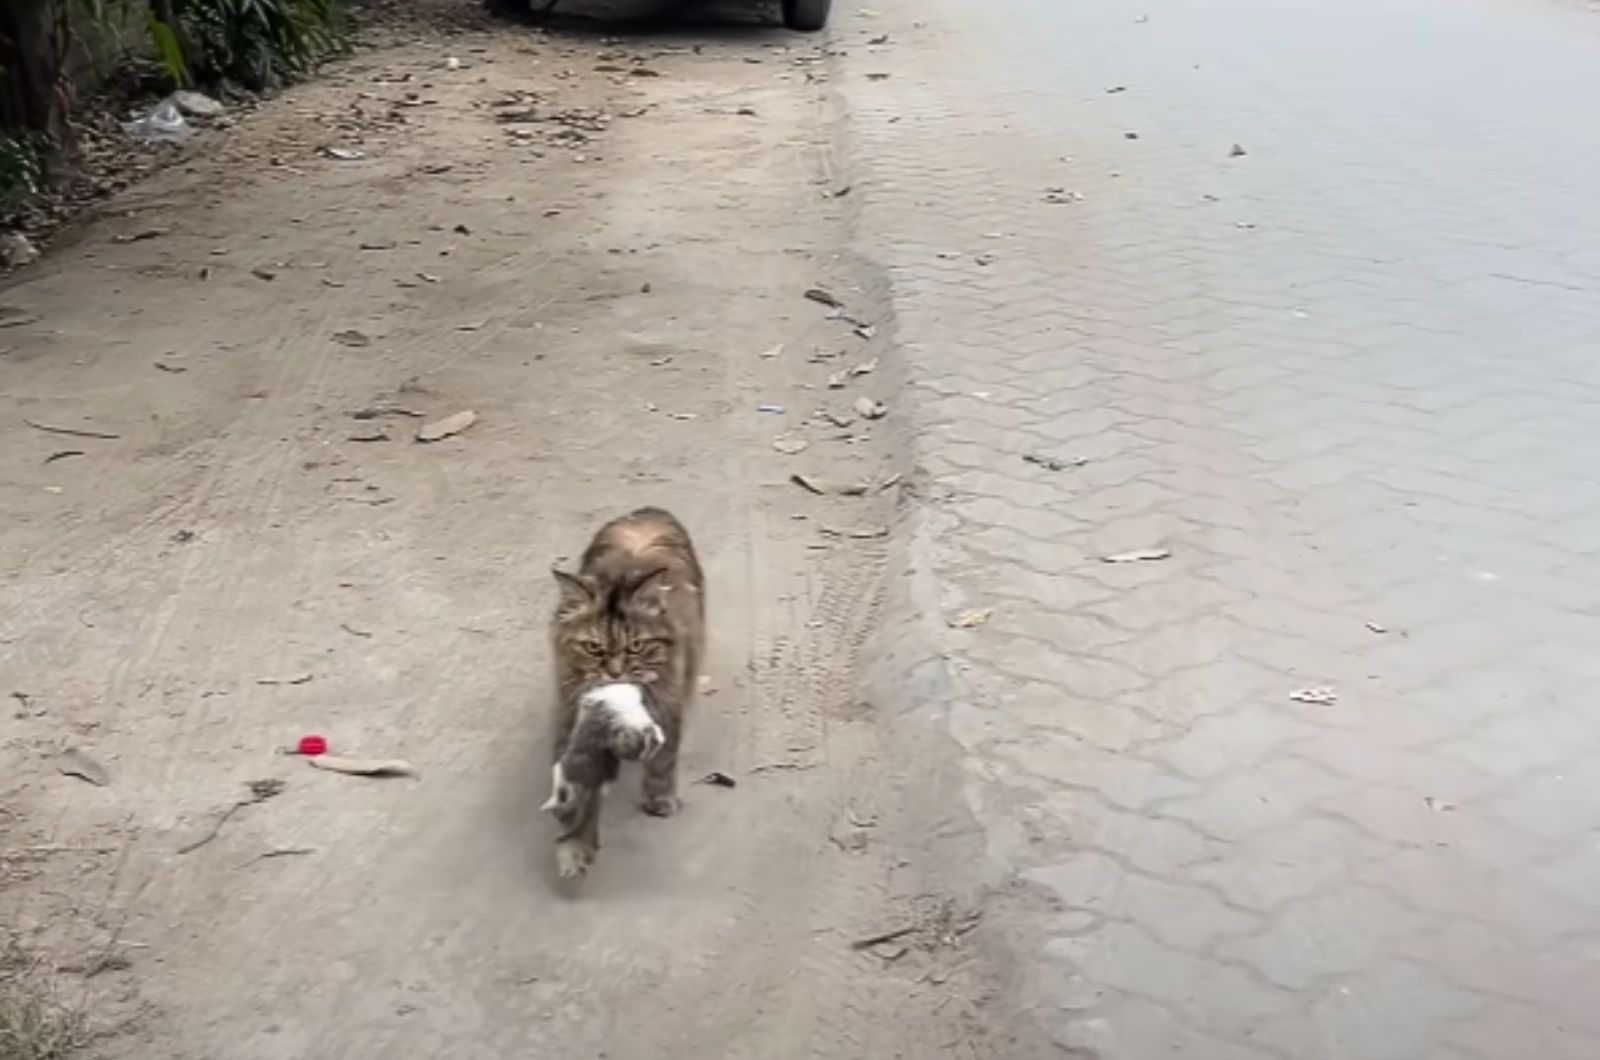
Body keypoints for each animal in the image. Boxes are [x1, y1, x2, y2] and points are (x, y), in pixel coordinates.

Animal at [544, 505, 707, 877]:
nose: (615, 673)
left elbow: (663, 762)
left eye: (636, 647)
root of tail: (648, 511)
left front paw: (659, 798)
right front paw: (573, 840)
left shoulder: (668, 703)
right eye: (593, 648)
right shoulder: (570, 707)